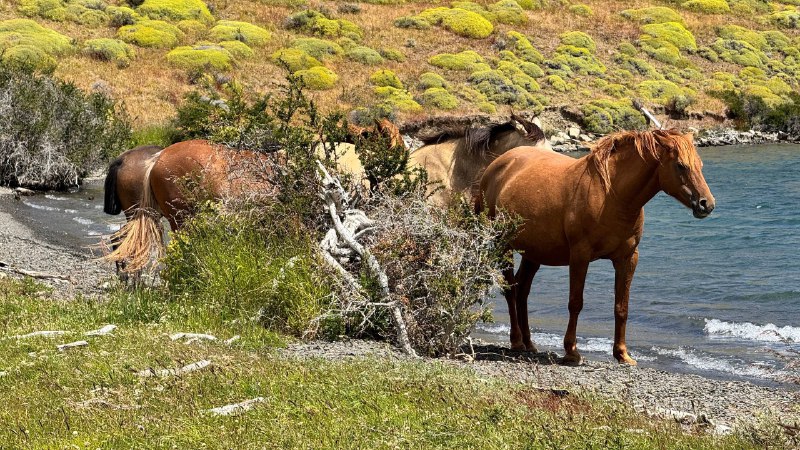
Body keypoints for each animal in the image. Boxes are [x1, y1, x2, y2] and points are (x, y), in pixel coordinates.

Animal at [476, 129, 715, 365]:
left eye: (700, 165)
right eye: (681, 165)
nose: (707, 204)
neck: (611, 195)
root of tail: (498, 164)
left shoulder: (628, 258)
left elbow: (621, 307)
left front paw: (622, 354)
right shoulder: (580, 256)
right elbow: (576, 303)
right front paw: (571, 352)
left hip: (534, 253)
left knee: (523, 290)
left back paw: (529, 343)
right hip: (504, 246)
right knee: (511, 290)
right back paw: (517, 341)